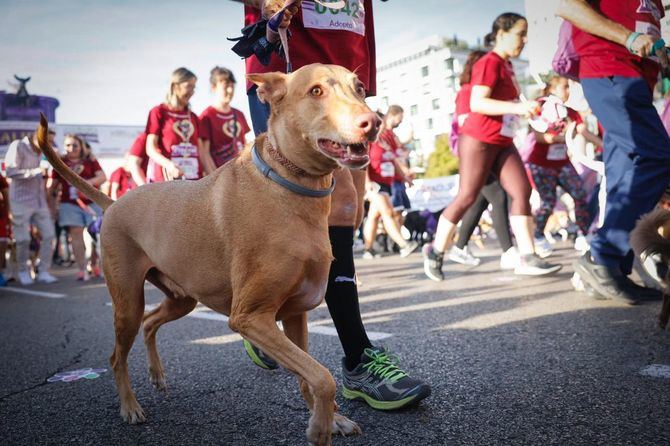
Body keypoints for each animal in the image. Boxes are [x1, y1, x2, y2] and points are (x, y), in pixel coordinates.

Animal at [36, 63, 384, 446]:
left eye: (361, 87)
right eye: (316, 91)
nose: (374, 122)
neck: (290, 185)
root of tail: (113, 202)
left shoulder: (295, 315)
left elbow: (309, 375)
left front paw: (333, 419)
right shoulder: (249, 317)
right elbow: (322, 377)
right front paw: (321, 426)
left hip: (181, 297)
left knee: (150, 323)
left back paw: (157, 374)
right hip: (127, 303)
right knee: (116, 356)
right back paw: (129, 407)